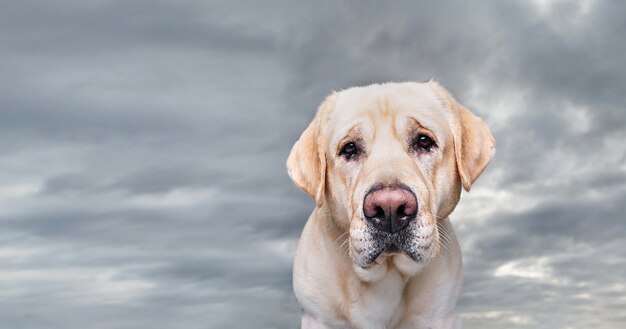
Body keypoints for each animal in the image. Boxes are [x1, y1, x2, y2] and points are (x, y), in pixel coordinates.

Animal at [286, 80, 494, 328]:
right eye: (349, 148)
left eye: (424, 141)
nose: (390, 209)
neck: (387, 271)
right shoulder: (318, 317)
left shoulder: (438, 316)